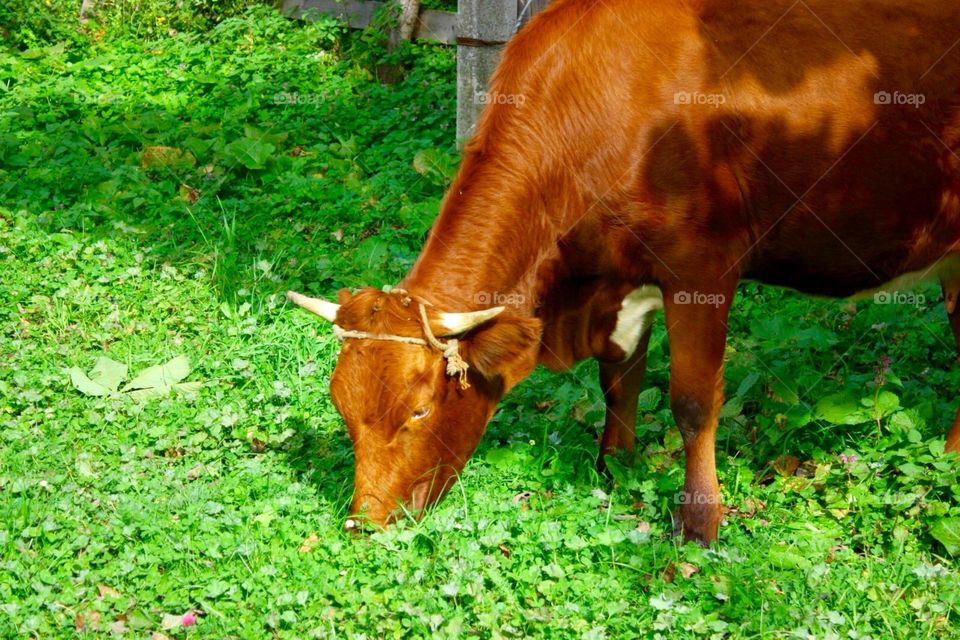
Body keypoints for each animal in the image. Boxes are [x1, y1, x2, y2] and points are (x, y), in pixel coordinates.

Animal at [286, 0, 960, 544]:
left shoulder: (702, 266)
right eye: (342, 408)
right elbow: (620, 381)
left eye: (421, 411)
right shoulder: (616, 280)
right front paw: (615, 471)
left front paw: (699, 523)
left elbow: (693, 400)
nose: (366, 524)